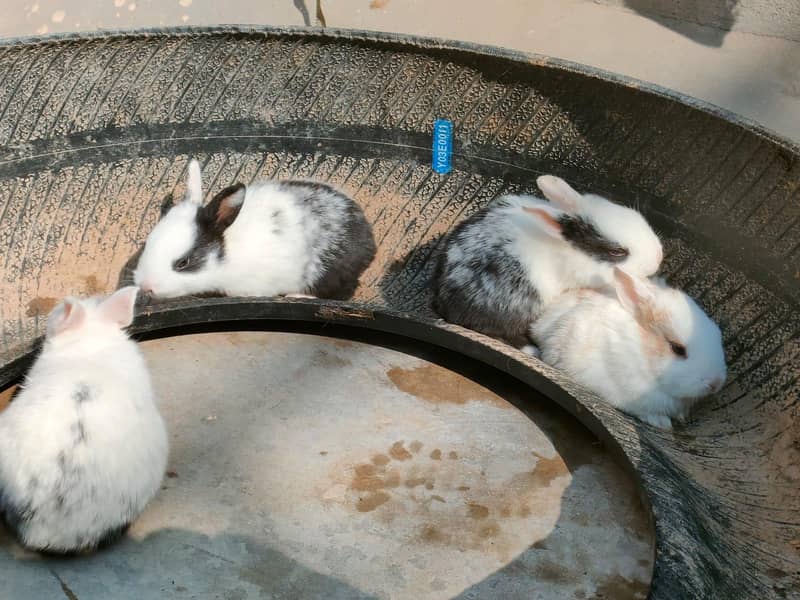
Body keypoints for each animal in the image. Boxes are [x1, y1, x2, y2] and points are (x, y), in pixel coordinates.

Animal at [133, 159, 376, 300]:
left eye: (183, 262)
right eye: (147, 245)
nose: (145, 286)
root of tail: (368, 239)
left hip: (330, 273)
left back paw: (298, 297)